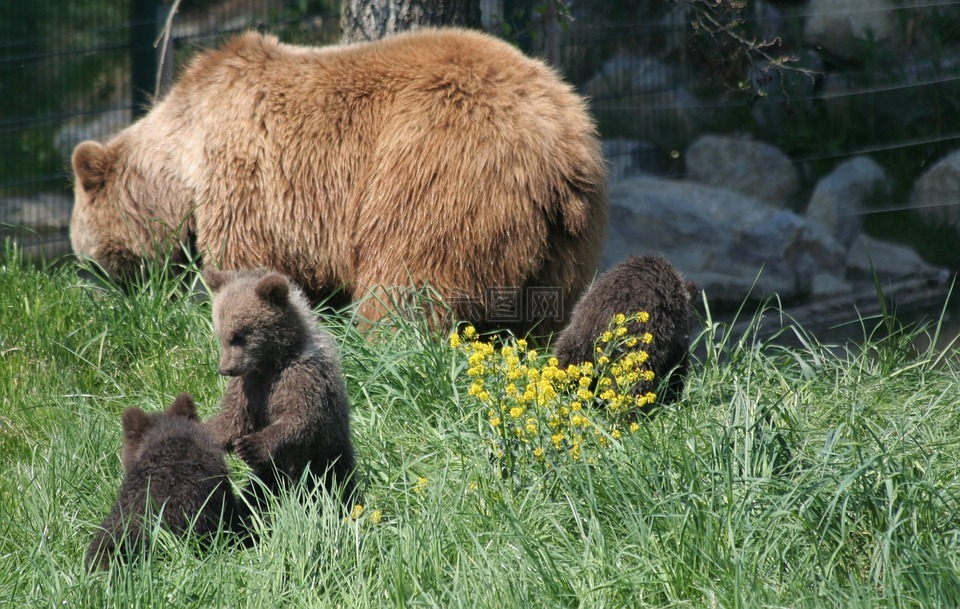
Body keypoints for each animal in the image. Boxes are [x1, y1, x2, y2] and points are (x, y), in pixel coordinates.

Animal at [69, 28, 608, 334]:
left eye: (87, 253)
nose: (95, 289)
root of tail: (559, 146)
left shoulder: (248, 183)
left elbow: (245, 264)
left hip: (435, 173)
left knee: (406, 283)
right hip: (565, 242)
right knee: (543, 316)